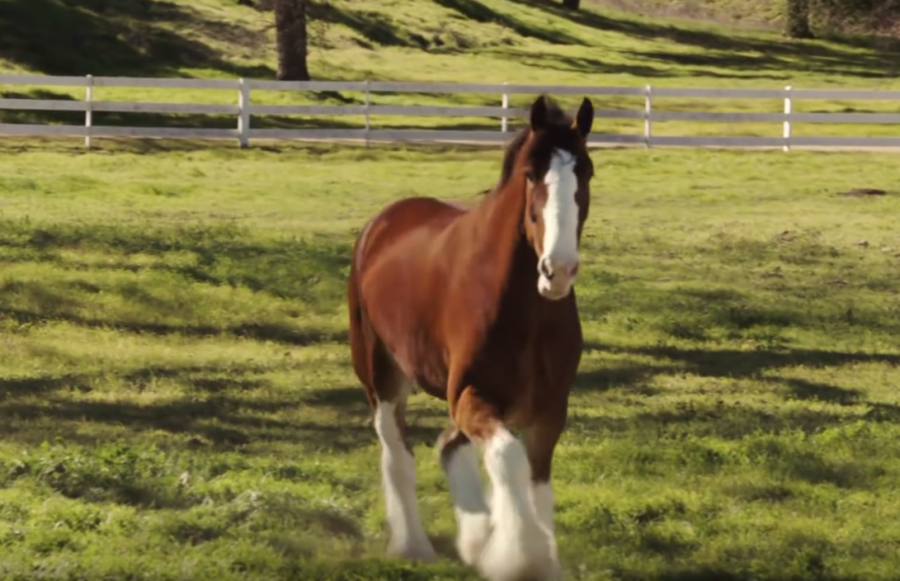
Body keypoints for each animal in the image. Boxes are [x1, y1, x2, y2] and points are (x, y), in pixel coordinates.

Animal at [347, 93, 595, 581]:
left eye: (587, 173)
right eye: (532, 174)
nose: (557, 271)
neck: (526, 308)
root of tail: (382, 223)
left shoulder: (548, 408)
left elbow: (537, 484)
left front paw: (526, 553)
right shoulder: (470, 393)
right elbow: (508, 458)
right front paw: (519, 556)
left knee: (446, 446)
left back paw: (473, 538)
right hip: (382, 376)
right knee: (397, 453)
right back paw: (414, 546)